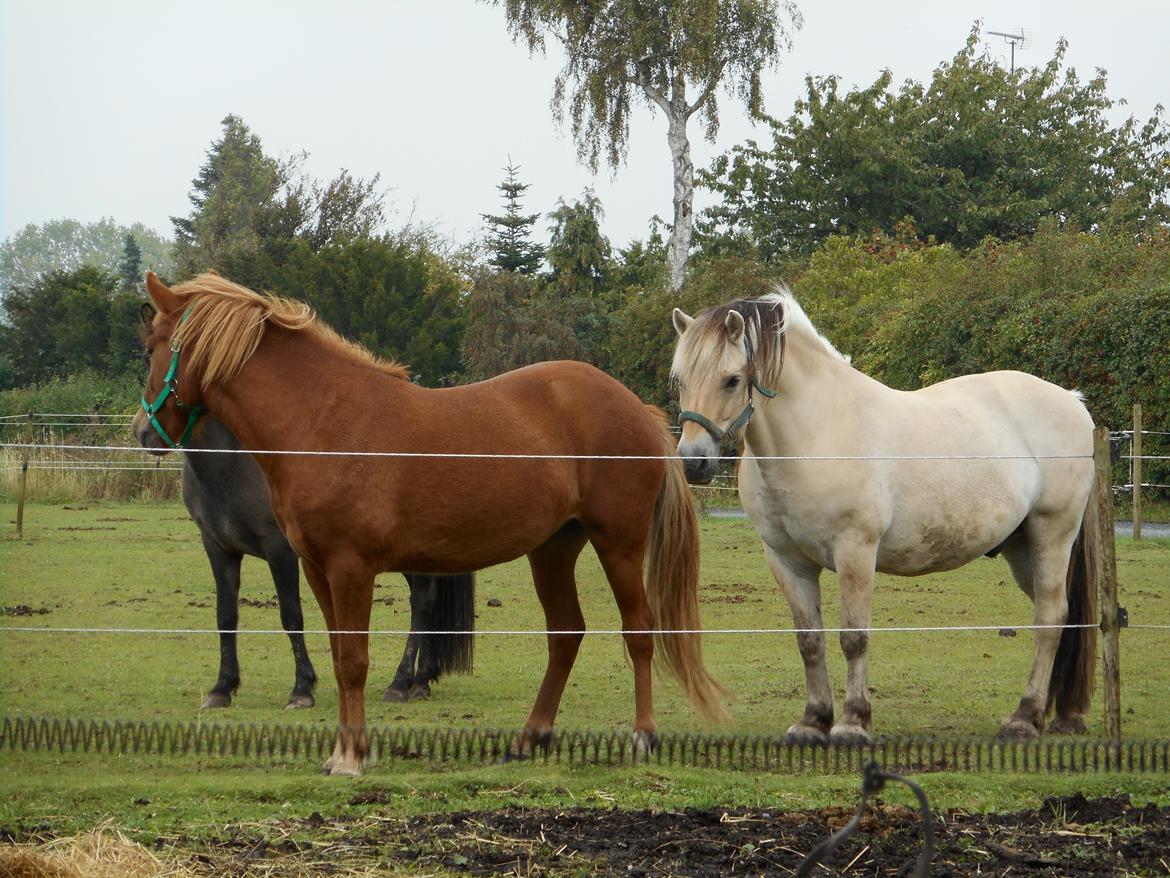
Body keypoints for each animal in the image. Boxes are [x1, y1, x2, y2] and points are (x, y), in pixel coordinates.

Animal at [134, 271, 720, 772]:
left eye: (150, 348)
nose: (143, 431)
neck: (322, 420)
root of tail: (637, 409)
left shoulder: (350, 567)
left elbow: (354, 661)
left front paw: (352, 757)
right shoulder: (316, 568)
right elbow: (338, 653)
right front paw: (342, 750)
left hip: (619, 542)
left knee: (638, 629)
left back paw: (643, 737)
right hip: (553, 548)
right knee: (565, 634)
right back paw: (529, 739)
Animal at [673, 292, 1099, 744]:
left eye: (732, 380)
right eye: (680, 380)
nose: (693, 463)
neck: (818, 431)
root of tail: (1073, 402)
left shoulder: (855, 552)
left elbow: (854, 638)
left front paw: (852, 722)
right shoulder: (787, 560)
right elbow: (809, 640)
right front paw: (813, 720)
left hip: (1051, 534)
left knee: (1050, 619)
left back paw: (1024, 717)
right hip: (1021, 549)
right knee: (1061, 617)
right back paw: (1061, 714)